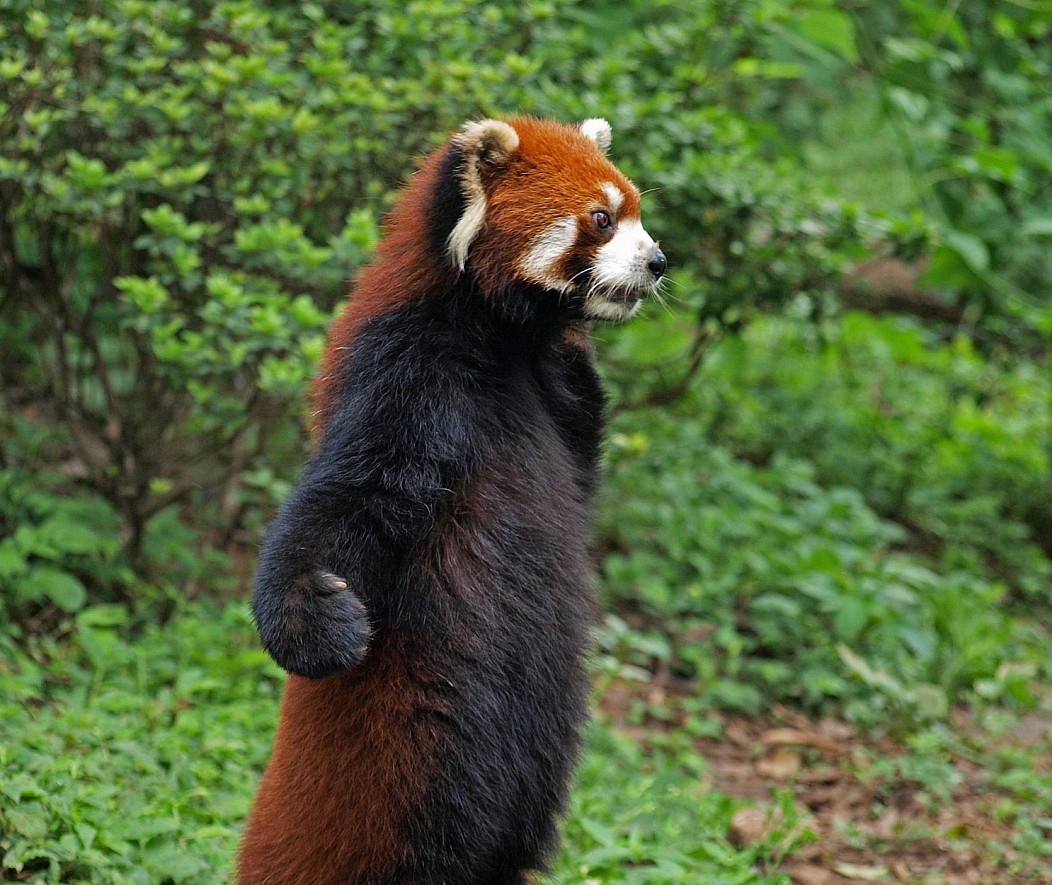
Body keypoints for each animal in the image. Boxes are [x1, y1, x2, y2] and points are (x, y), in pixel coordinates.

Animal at [240, 117, 660, 883]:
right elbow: (352, 498)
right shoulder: (405, 374)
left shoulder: (551, 393)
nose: (659, 262)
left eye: (639, 211)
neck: (498, 338)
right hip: (425, 750)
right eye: (601, 219)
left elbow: (582, 463)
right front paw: (310, 615)